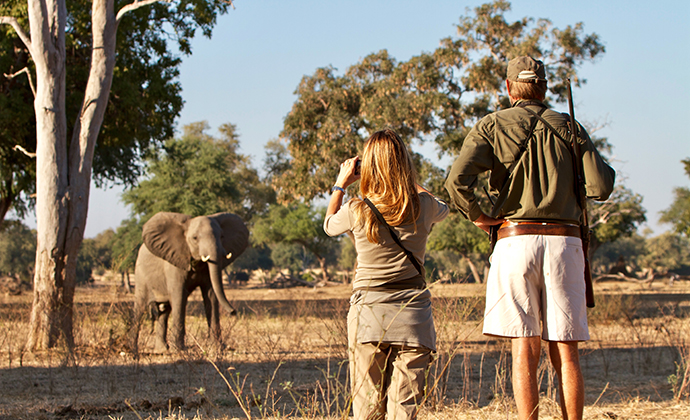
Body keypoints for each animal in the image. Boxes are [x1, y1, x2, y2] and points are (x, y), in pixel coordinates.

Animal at [130, 212, 249, 352]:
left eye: (222, 236)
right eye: (195, 238)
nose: (233, 312)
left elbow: (211, 295)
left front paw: (216, 348)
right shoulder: (175, 262)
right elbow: (179, 297)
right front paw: (179, 350)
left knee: (164, 311)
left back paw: (162, 350)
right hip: (140, 276)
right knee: (140, 309)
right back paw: (133, 349)